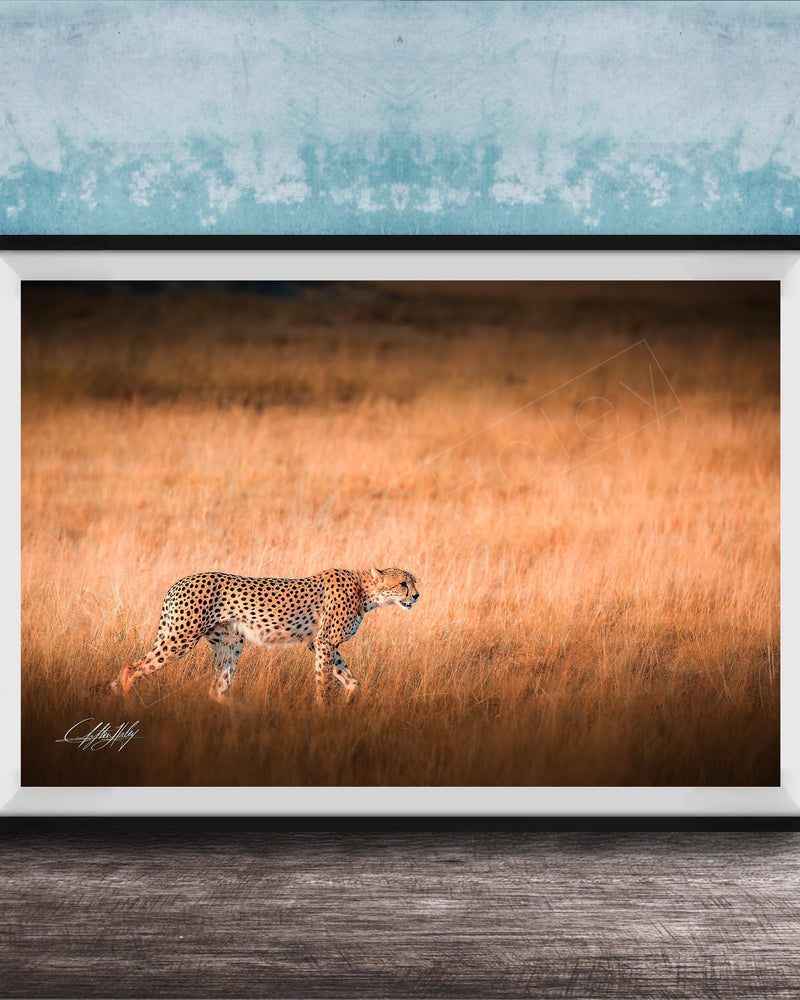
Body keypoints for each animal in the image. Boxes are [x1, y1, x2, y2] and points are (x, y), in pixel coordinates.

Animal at [108, 566, 419, 704]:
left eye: (415, 582)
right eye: (403, 584)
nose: (416, 596)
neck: (365, 591)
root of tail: (180, 581)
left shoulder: (317, 643)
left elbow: (350, 679)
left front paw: (350, 702)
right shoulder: (325, 641)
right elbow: (324, 680)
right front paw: (324, 711)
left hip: (230, 642)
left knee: (218, 687)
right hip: (180, 638)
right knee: (131, 669)